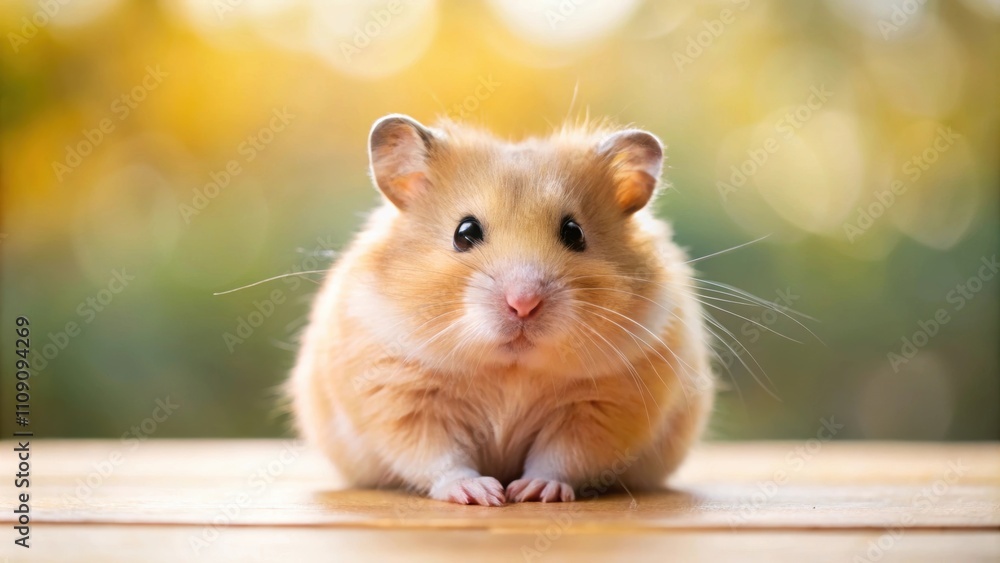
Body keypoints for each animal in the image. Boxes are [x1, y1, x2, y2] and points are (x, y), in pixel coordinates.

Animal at [289, 114, 715, 505]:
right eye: (464, 233)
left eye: (574, 232)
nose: (523, 304)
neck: (511, 370)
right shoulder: (401, 398)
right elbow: (438, 456)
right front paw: (483, 494)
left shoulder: (603, 407)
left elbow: (562, 455)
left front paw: (533, 492)